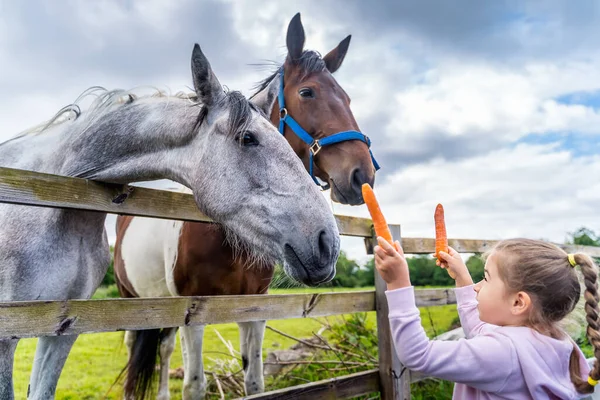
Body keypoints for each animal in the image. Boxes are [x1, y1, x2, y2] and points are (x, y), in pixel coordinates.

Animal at [115, 12, 378, 400]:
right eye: (307, 92)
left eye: (346, 97)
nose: (362, 174)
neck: (227, 241)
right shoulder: (193, 311)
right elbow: (194, 385)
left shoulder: (254, 308)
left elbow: (255, 381)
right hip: (132, 299)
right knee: (142, 346)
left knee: (162, 347)